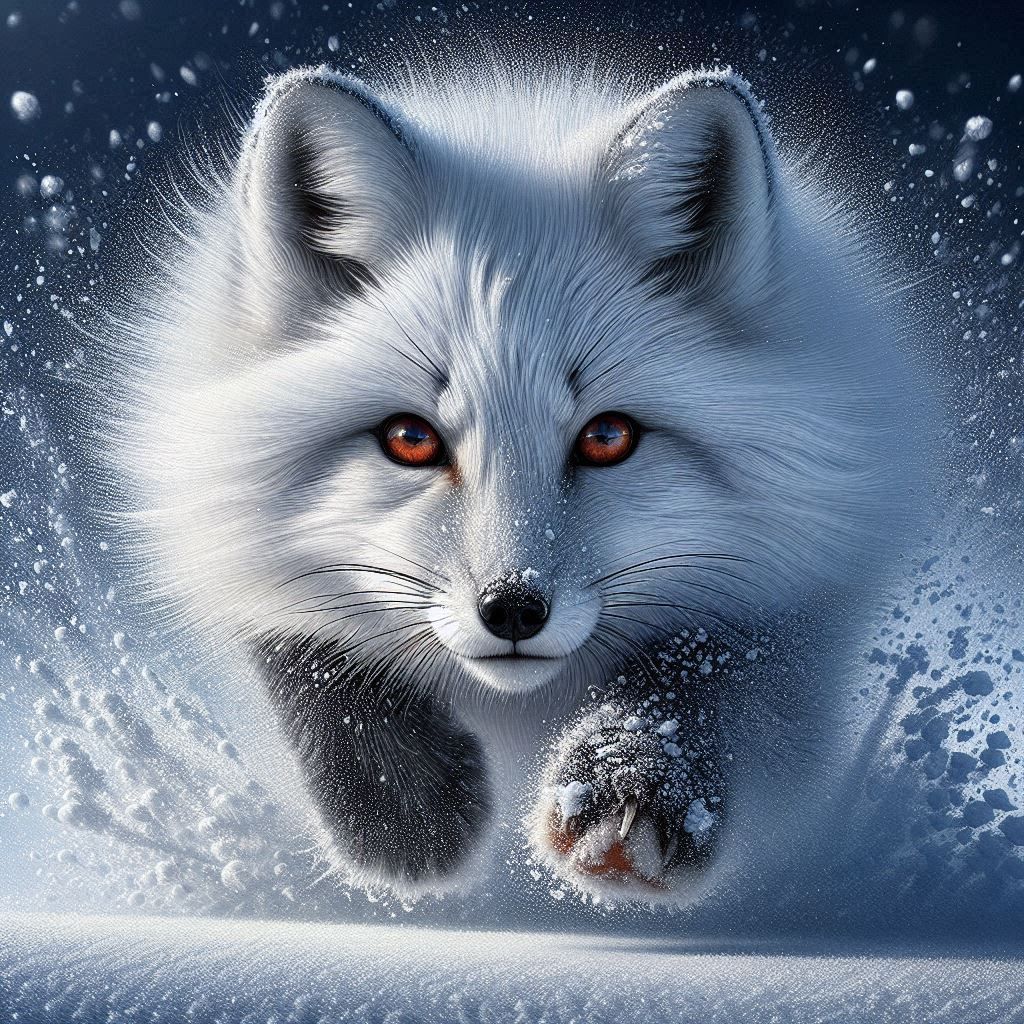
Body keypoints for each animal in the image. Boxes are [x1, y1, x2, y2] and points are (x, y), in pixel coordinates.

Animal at [110, 61, 934, 906]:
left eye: (608, 437)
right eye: (410, 439)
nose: (512, 610)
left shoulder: (803, 572)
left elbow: (712, 668)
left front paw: (630, 784)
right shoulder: (227, 523)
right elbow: (304, 648)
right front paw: (406, 810)